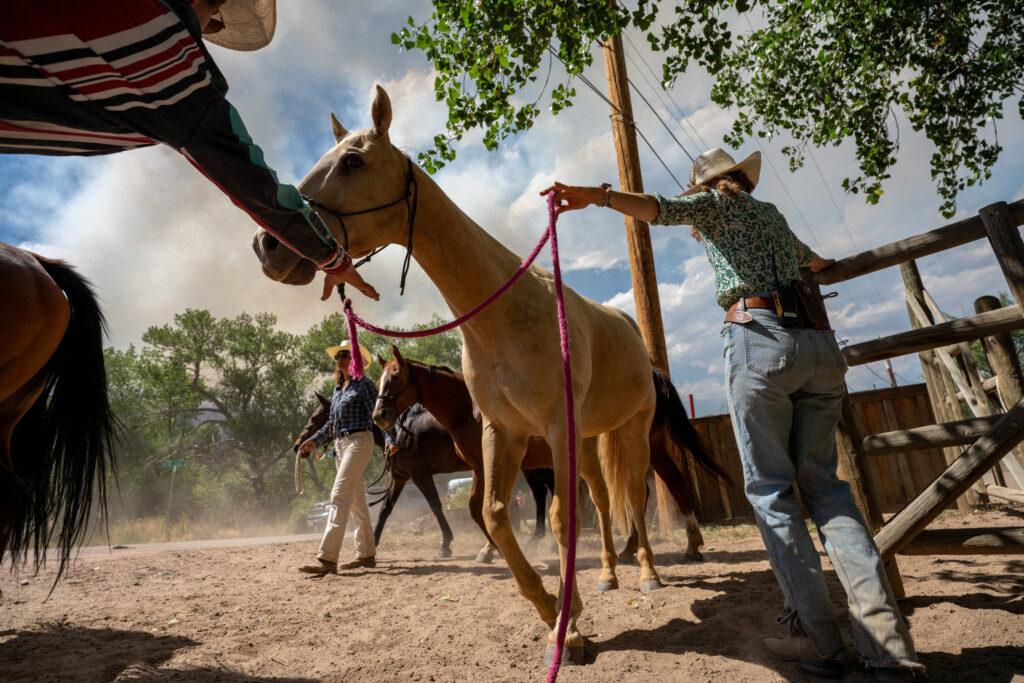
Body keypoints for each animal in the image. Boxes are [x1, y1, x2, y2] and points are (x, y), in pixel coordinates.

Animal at [292, 393, 557, 557]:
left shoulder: (420, 474)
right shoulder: (400, 477)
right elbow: (385, 509)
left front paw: (446, 545)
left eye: (316, 417)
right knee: (541, 493)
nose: (298, 445)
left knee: (550, 490)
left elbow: (435, 504)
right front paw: (373, 543)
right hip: (529, 467)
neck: (399, 430)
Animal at [372, 348, 733, 565]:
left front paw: (493, 549)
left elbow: (477, 507)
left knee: (651, 489)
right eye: (380, 380)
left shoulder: (481, 467)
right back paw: (671, 545)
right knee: (664, 485)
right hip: (647, 446)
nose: (379, 415)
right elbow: (480, 508)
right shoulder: (480, 467)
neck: (467, 408)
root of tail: (651, 374)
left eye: (396, 377)